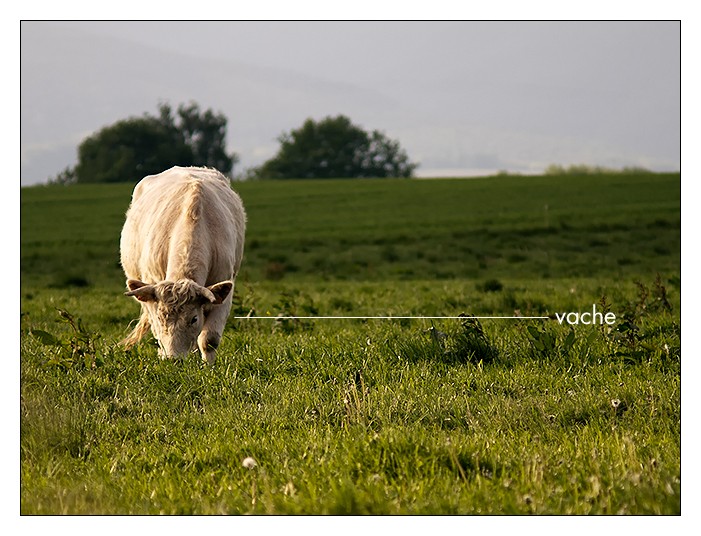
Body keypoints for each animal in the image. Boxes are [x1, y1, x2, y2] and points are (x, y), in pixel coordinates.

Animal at [117, 165, 243, 362]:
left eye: (193, 319)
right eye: (161, 317)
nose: (174, 359)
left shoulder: (223, 291)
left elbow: (209, 339)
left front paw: (209, 366)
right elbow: (158, 334)